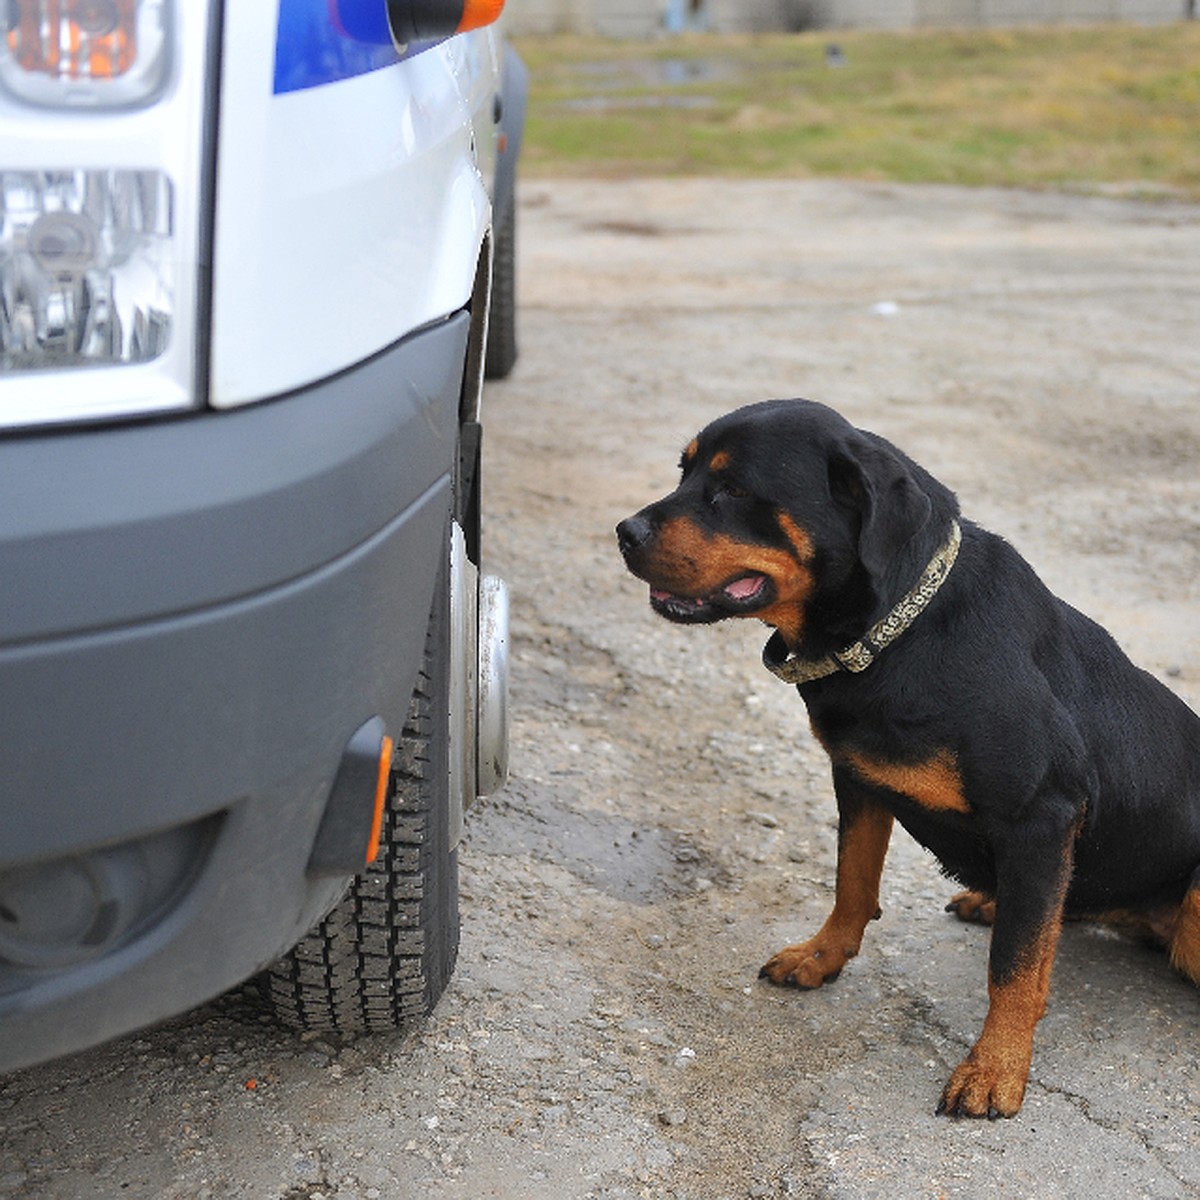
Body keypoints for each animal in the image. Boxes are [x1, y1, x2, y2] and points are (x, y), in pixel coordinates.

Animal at [619, 398, 1200, 1118]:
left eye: (733, 490)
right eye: (685, 471)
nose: (624, 532)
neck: (899, 632)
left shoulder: (1042, 816)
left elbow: (1014, 967)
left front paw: (995, 1068)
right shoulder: (857, 778)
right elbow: (852, 880)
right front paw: (822, 956)